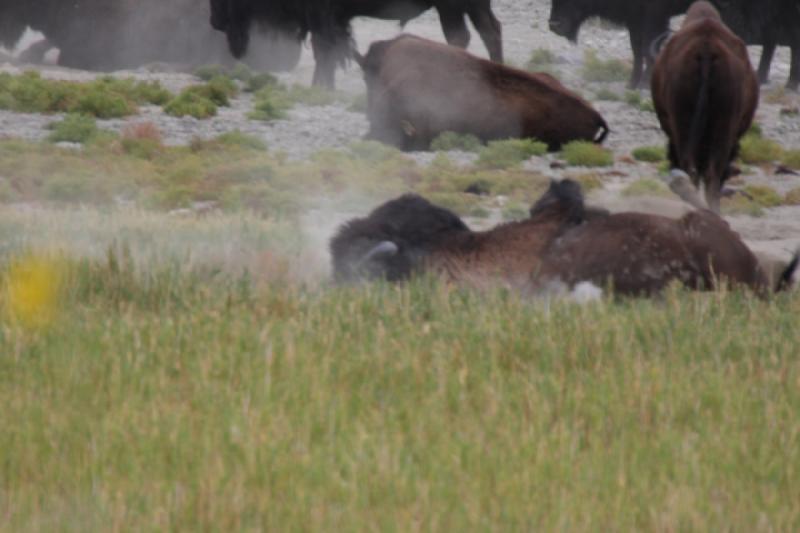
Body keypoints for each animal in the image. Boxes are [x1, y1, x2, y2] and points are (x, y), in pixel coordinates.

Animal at [544, 0, 692, 88]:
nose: (554, 25)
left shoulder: (653, 19)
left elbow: (647, 50)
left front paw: (644, 85)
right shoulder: (634, 19)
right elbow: (637, 51)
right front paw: (631, 85)